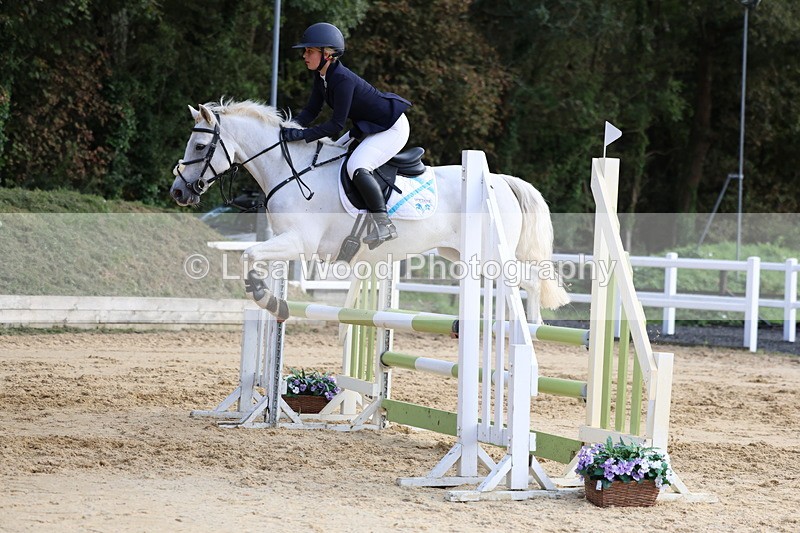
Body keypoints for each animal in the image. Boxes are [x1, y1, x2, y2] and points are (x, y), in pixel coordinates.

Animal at [169, 99, 569, 319]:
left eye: (201, 146)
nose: (178, 191)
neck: (289, 169)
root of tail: (498, 180)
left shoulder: (300, 242)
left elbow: (249, 255)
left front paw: (269, 302)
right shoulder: (284, 240)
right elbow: (252, 257)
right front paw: (272, 300)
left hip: (490, 255)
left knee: (529, 283)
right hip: (462, 255)